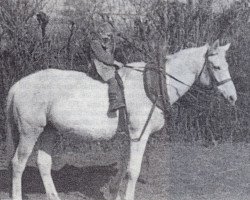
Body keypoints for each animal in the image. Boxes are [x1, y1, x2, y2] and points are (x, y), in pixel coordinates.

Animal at [5, 40, 236, 200]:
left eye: (226, 65)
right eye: (216, 67)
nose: (233, 97)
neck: (152, 86)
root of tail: (18, 85)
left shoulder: (130, 137)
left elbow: (124, 168)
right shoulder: (139, 135)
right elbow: (133, 171)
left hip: (49, 130)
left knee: (43, 163)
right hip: (30, 131)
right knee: (18, 163)